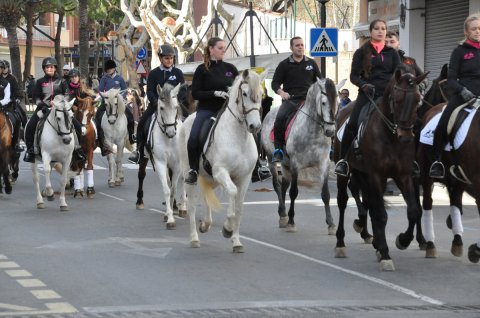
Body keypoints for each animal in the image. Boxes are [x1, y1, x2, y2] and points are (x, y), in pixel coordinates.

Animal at [136, 83, 188, 230]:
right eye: (161, 108)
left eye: (176, 107)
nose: (171, 132)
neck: (168, 139)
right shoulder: (160, 162)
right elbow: (166, 189)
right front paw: (169, 217)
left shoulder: (176, 164)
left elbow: (173, 189)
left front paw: (173, 211)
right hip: (145, 157)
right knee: (141, 175)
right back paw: (140, 201)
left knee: (182, 180)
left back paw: (181, 207)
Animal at [179, 70, 266, 253]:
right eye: (244, 93)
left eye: (261, 94)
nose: (255, 126)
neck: (238, 137)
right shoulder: (221, 172)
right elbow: (232, 194)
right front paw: (227, 228)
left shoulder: (245, 178)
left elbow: (239, 208)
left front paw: (236, 241)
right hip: (190, 174)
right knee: (192, 205)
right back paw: (194, 238)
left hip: (210, 178)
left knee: (206, 197)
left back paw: (206, 224)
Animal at [262, 78, 338, 232]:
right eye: (323, 103)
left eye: (336, 102)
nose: (330, 131)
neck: (313, 131)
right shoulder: (295, 165)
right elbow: (294, 192)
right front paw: (291, 221)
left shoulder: (324, 164)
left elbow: (326, 194)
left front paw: (331, 224)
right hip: (271, 159)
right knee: (277, 185)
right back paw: (284, 215)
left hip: (285, 163)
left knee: (284, 185)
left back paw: (283, 215)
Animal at [334, 66, 428, 270]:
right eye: (397, 99)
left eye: (418, 100)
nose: (405, 137)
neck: (390, 136)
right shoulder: (377, 175)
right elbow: (381, 215)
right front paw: (385, 253)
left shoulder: (403, 175)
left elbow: (413, 211)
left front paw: (403, 240)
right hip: (346, 173)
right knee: (343, 201)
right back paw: (340, 243)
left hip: (363, 173)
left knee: (367, 202)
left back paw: (370, 235)